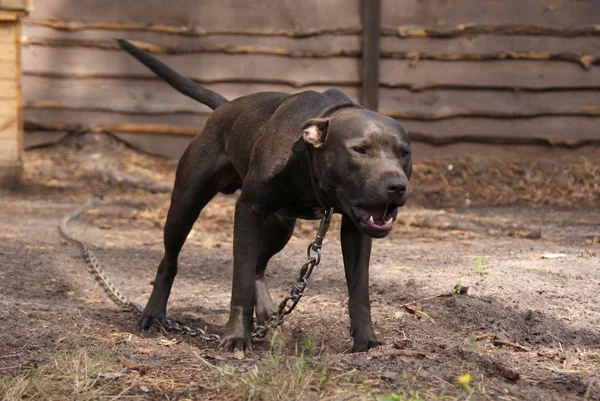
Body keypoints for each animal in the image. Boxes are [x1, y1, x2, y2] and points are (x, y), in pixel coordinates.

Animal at [116, 37, 410, 350]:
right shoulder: (249, 210)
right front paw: (236, 336)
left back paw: (268, 313)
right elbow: (241, 281)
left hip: (280, 227)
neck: (308, 162)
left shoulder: (355, 231)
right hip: (185, 207)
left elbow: (359, 288)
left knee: (258, 264)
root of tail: (225, 108)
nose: (397, 185)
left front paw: (366, 341)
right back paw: (154, 313)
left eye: (405, 153)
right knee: (170, 261)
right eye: (359, 149)